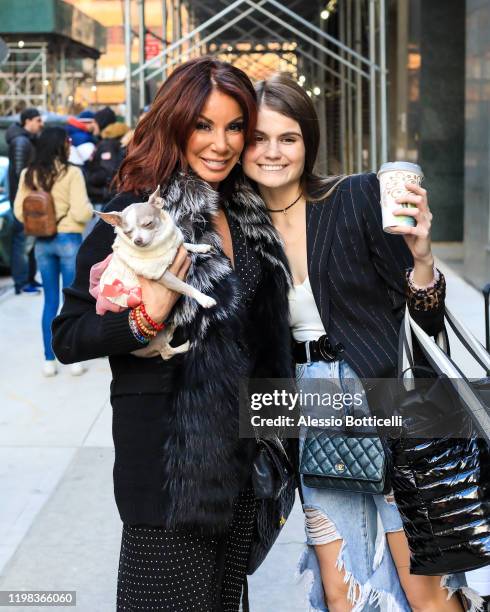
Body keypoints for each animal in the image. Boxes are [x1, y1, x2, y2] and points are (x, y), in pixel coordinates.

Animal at [90, 186, 216, 358]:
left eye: (148, 224)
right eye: (127, 233)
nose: (137, 241)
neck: (158, 243)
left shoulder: (174, 247)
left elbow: (184, 244)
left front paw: (200, 247)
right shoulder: (163, 276)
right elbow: (186, 287)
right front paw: (205, 299)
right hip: (153, 337)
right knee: (166, 352)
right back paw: (187, 346)